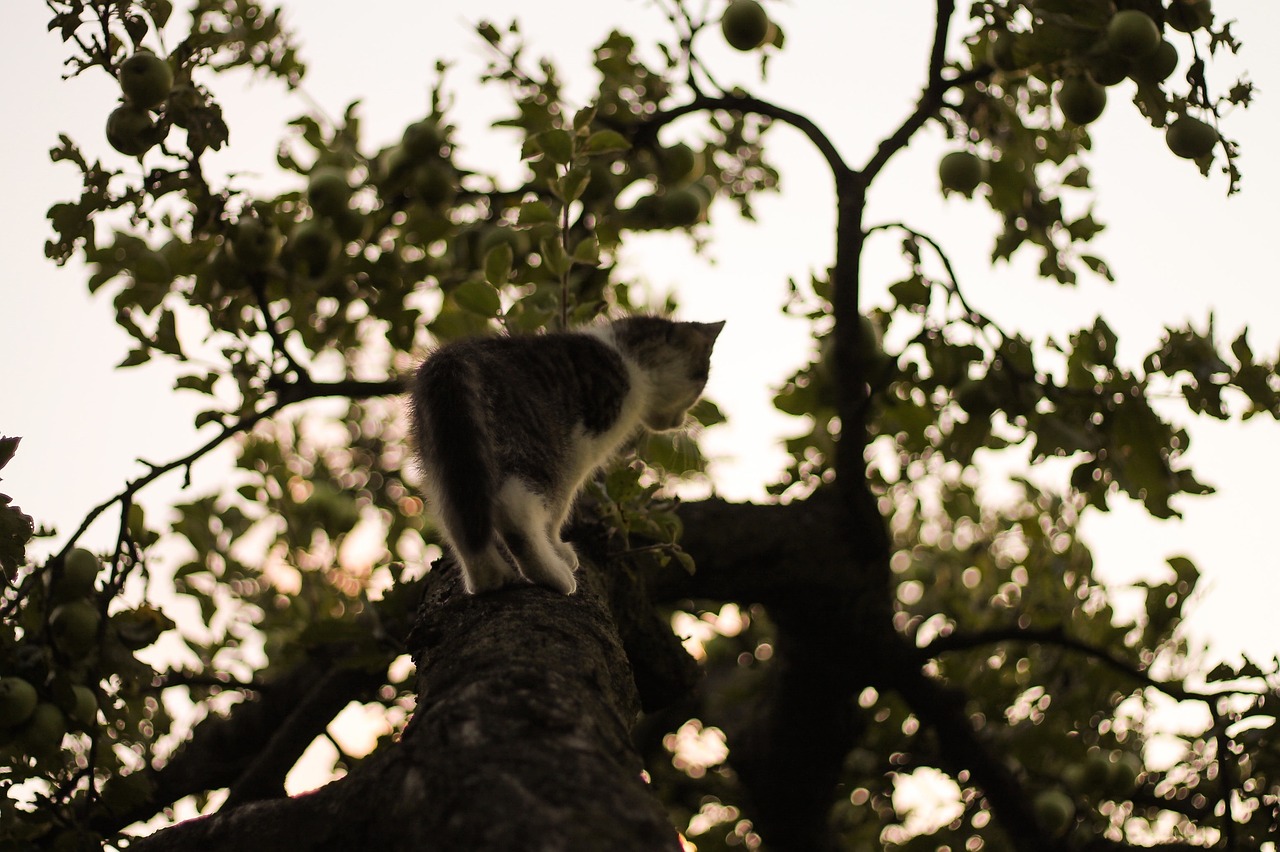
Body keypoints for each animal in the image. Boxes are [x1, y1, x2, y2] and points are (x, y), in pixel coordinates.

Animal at [412, 314, 727, 593]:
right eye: (699, 387)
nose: (679, 421)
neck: (627, 358)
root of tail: (451, 357)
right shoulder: (580, 448)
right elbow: (561, 505)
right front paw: (558, 546)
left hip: (447, 455)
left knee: (457, 515)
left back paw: (489, 578)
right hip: (537, 447)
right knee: (516, 508)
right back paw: (553, 575)